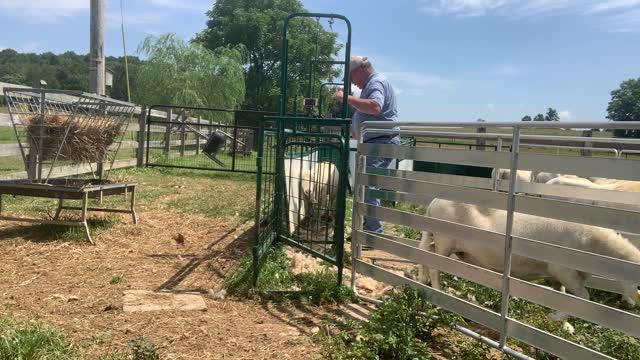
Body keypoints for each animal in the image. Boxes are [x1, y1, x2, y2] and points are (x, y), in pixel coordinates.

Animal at [420, 197, 640, 320]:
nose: (633, 304)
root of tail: (433, 203)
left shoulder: (559, 277)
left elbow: (560, 295)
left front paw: (556, 316)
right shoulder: (563, 270)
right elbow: (583, 297)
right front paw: (556, 318)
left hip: (436, 238)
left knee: (424, 254)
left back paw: (423, 281)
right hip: (445, 240)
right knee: (435, 266)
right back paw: (438, 293)